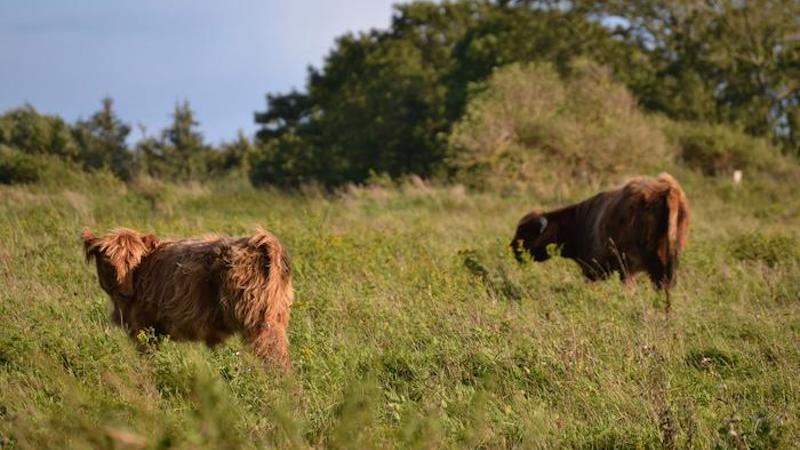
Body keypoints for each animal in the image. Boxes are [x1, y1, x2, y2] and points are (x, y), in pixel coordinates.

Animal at [82, 227, 294, 368]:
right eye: (108, 263)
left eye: (134, 261)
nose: (124, 292)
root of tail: (262, 242)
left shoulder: (144, 326)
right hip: (276, 316)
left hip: (257, 322)